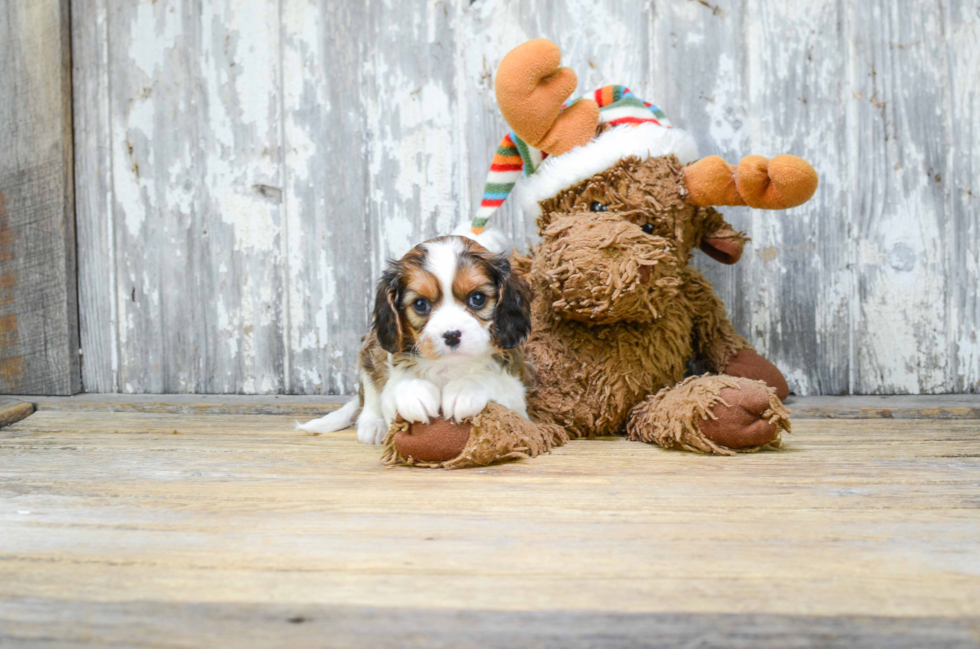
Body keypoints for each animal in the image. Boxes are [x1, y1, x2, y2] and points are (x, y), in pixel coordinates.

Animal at [296, 237, 532, 446]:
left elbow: (491, 380)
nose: (452, 335)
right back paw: (372, 424)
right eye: (420, 304)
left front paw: (466, 389)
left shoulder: (517, 399)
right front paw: (415, 394)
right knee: (370, 394)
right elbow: (397, 385)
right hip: (370, 348)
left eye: (478, 299)